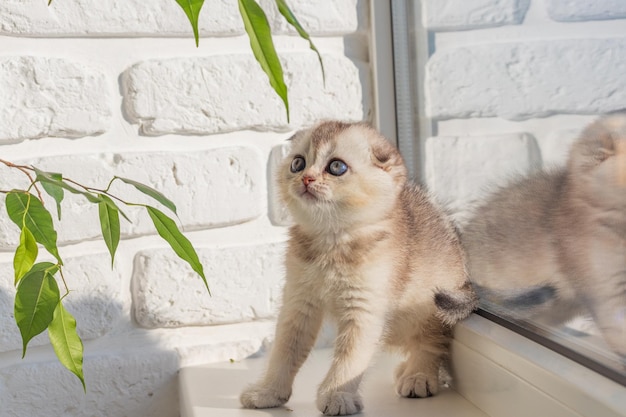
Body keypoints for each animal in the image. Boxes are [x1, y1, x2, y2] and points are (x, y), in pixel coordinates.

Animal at [236, 120, 476, 412]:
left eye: (336, 167)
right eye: (298, 163)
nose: (306, 178)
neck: (331, 243)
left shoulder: (364, 310)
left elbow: (350, 359)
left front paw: (337, 395)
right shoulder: (298, 303)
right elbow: (284, 351)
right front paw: (268, 392)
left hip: (432, 306)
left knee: (430, 344)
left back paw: (418, 375)